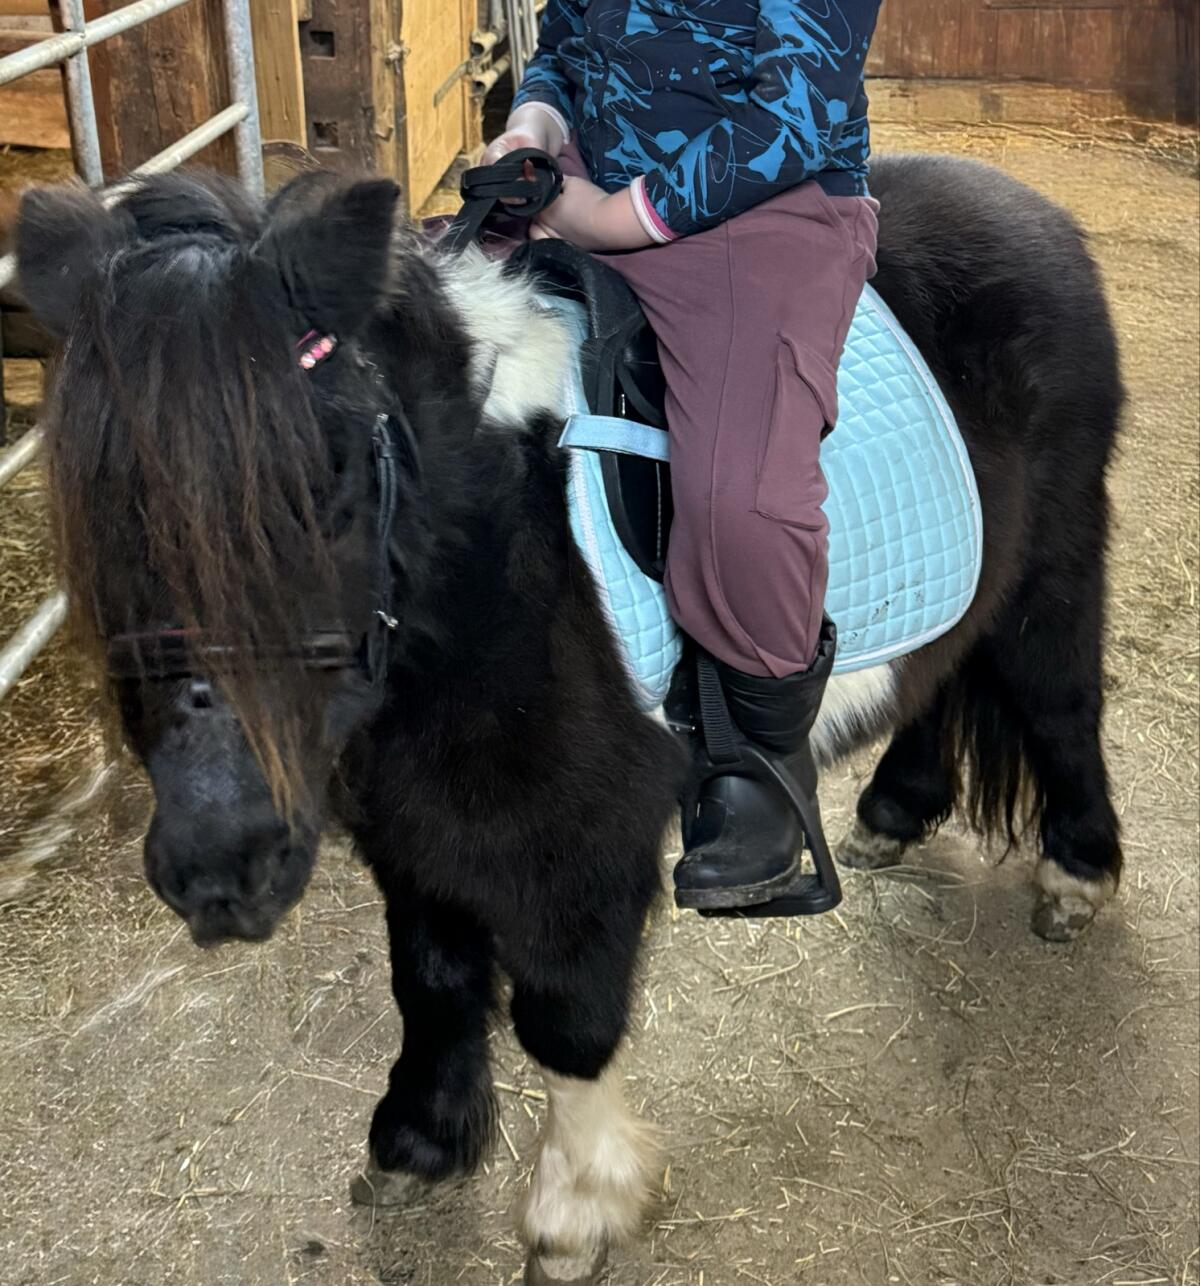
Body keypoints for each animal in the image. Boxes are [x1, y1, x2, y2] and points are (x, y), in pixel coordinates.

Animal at [15, 152, 1122, 1284]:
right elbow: (434, 977)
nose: (218, 872)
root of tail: (1029, 208)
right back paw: (895, 811)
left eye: (329, 487)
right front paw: (420, 1141)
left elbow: (566, 1016)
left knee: (1062, 703)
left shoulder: (583, 848)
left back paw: (1075, 878)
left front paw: (576, 1208)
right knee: (940, 678)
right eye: (101, 512)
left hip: (1054, 573)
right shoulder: (414, 826)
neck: (496, 564)